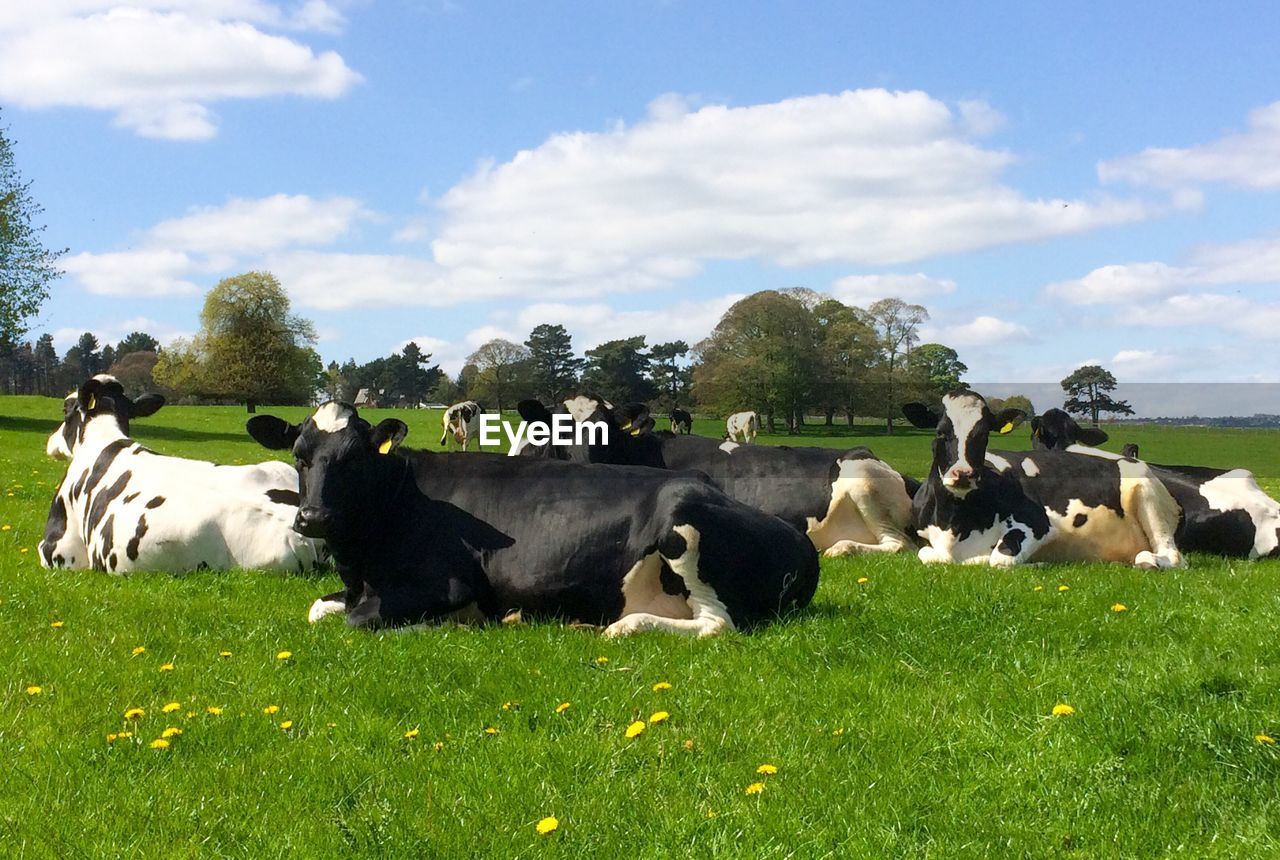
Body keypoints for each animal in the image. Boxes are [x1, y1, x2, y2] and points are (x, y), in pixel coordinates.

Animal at [244, 399, 814, 634]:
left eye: (355, 458)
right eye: (299, 454)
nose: (313, 517)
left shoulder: (449, 584)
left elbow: (359, 622)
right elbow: (319, 610)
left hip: (683, 522)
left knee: (717, 625)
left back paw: (622, 627)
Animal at [514, 396, 916, 557]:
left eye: (608, 429)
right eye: (558, 428)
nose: (587, 461)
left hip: (861, 477)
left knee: (898, 543)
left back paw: (841, 548)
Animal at [906, 391, 1182, 570]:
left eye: (984, 434)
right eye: (940, 432)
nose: (963, 474)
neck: (954, 523)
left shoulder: (1036, 524)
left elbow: (997, 560)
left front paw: (1034, 562)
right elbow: (928, 554)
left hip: (1148, 499)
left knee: (1172, 556)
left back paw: (1148, 561)